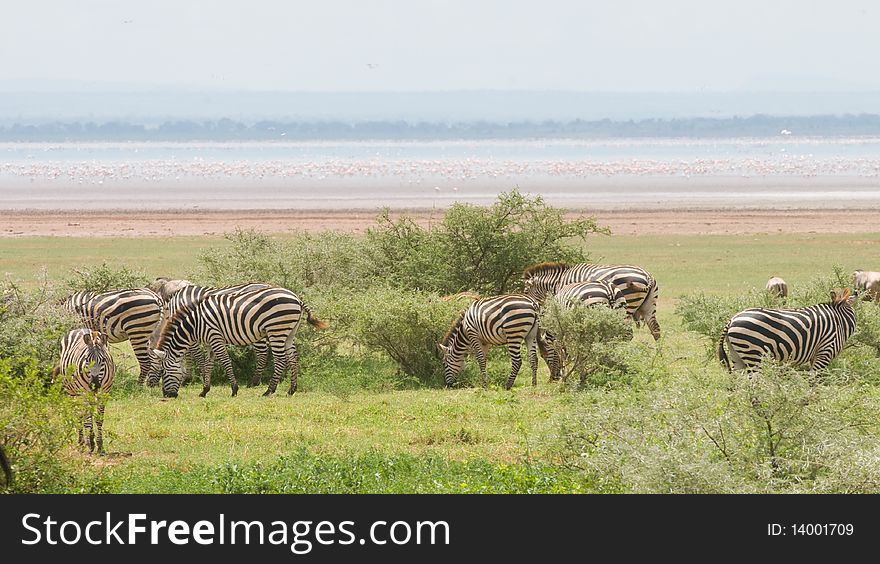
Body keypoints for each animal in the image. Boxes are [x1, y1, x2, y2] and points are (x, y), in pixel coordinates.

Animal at [51, 326, 116, 454]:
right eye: (87, 360)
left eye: (103, 360)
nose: (94, 384)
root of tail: (80, 328)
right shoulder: (85, 392)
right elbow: (87, 419)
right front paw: (90, 444)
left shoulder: (104, 393)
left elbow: (99, 419)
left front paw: (100, 445)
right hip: (73, 392)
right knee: (79, 414)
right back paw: (81, 442)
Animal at [150, 288, 328, 398]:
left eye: (163, 372)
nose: (168, 396)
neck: (195, 325)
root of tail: (296, 298)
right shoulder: (209, 342)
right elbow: (208, 364)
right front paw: (204, 391)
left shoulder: (215, 336)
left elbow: (225, 361)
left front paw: (234, 389)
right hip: (289, 332)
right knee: (292, 358)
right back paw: (292, 390)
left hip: (276, 330)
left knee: (280, 360)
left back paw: (269, 391)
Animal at [524, 262, 660, 340]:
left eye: (525, 291)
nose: (534, 308)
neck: (559, 281)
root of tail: (648, 275)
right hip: (649, 305)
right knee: (655, 329)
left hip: (628, 306)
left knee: (627, 334)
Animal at [720, 288, 856, 372]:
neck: (839, 318)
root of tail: (732, 319)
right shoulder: (825, 351)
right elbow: (814, 380)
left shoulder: (815, 355)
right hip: (754, 354)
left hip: (737, 355)